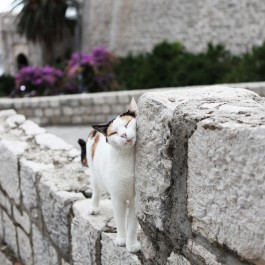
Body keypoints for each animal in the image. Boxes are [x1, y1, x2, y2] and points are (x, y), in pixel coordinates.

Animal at [78, 98, 140, 252]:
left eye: (127, 124)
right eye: (115, 133)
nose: (124, 135)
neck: (128, 158)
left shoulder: (136, 199)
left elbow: (132, 224)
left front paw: (132, 244)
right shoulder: (117, 198)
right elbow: (120, 220)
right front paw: (121, 240)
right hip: (94, 175)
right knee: (96, 191)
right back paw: (94, 207)